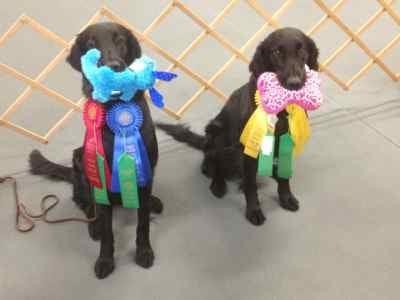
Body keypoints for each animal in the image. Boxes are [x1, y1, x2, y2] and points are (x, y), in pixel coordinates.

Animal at [29, 22, 164, 278]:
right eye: (91, 43)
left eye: (120, 39)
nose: (113, 66)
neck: (116, 109)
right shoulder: (99, 176)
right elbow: (108, 229)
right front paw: (105, 259)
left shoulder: (146, 169)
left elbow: (143, 222)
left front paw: (144, 251)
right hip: (80, 159)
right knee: (85, 203)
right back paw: (94, 224)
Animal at [158, 27, 320, 225]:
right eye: (276, 52)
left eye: (301, 50)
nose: (294, 83)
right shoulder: (249, 147)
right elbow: (251, 185)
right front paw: (254, 210)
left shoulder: (286, 142)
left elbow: (283, 177)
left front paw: (286, 197)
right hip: (216, 132)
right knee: (211, 165)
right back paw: (218, 184)